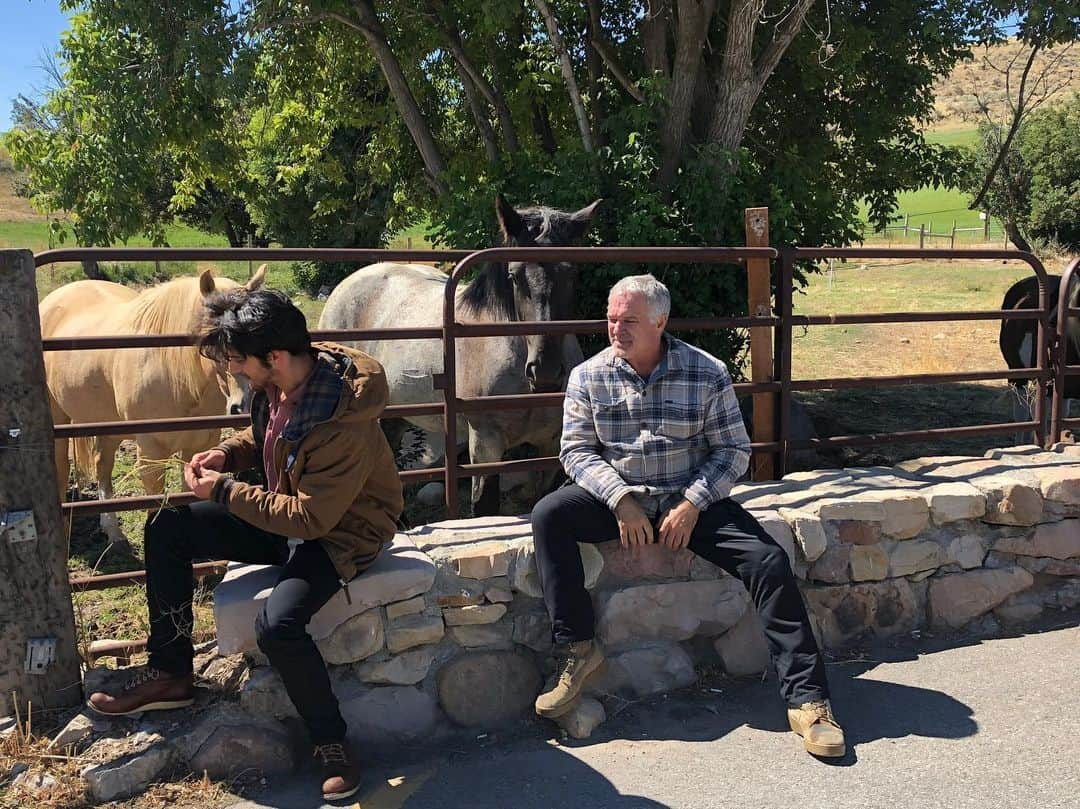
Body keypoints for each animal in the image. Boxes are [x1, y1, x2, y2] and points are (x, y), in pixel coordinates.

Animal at [42, 267, 265, 546]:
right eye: (215, 339)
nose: (246, 406)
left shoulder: (199, 445)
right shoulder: (151, 453)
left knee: (102, 465)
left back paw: (113, 532)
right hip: (59, 420)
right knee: (62, 471)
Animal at [315, 193, 604, 514]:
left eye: (573, 272)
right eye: (514, 276)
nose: (545, 372)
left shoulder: (552, 448)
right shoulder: (486, 446)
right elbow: (484, 507)